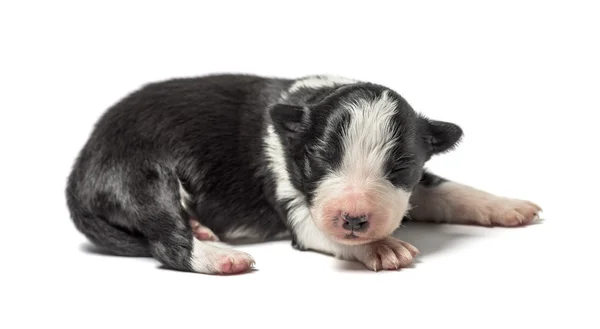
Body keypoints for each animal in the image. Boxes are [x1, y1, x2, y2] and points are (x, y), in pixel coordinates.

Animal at [67, 74, 544, 274]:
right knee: (166, 239)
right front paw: (383, 248)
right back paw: (220, 257)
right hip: (141, 174)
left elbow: (446, 188)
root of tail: (81, 164)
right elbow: (326, 232)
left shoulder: (414, 184)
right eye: (319, 159)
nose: (355, 219)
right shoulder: (294, 201)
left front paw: (508, 206)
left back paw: (202, 230)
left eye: (401, 166)